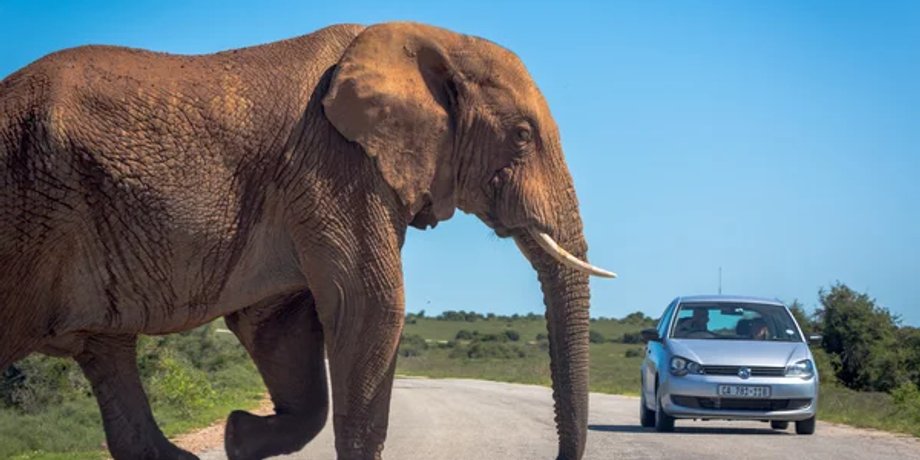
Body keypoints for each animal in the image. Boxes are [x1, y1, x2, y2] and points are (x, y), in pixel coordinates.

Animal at [0, 22, 615, 460]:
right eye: (522, 135)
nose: (559, 456)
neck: (432, 39)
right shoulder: (334, 166)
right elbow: (370, 307)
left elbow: (280, 325)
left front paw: (237, 437)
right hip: (27, 216)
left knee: (107, 353)